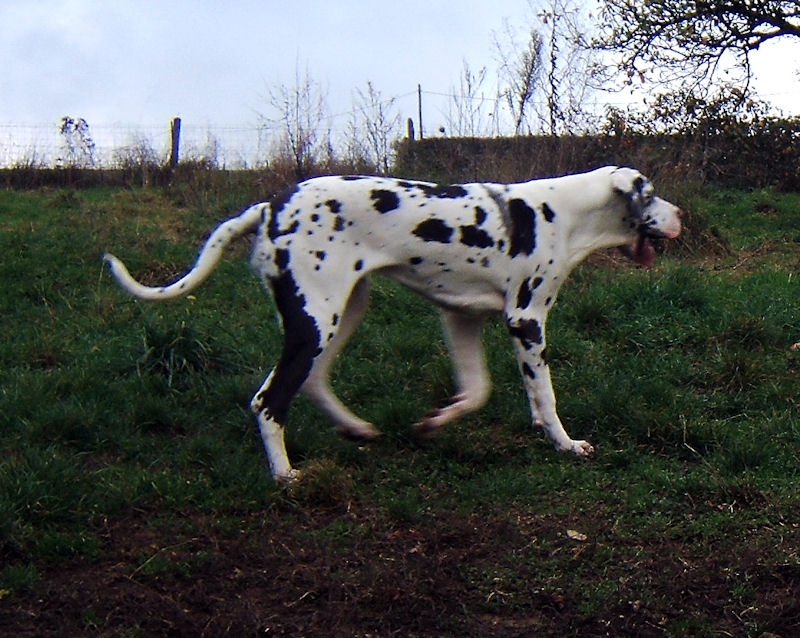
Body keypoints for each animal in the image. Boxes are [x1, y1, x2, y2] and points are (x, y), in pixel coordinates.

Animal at [104, 168, 680, 482]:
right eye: (651, 193)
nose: (681, 217)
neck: (562, 213)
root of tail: (270, 205)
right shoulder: (527, 321)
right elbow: (545, 397)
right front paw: (564, 444)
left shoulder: (461, 317)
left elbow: (476, 392)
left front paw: (435, 422)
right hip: (317, 321)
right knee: (269, 400)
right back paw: (285, 475)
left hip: (342, 312)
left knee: (312, 382)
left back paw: (356, 428)